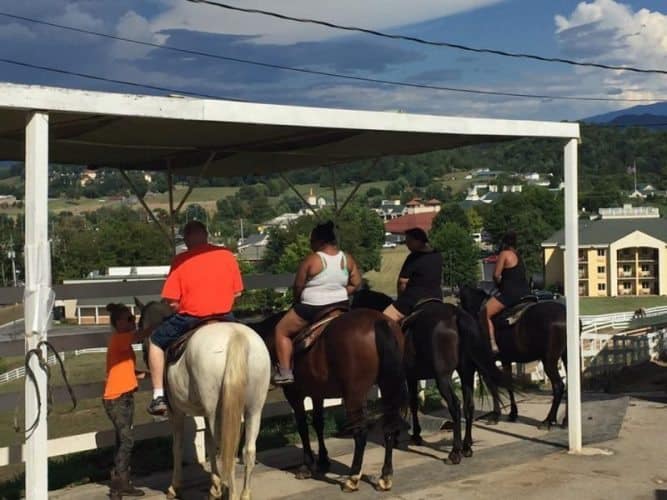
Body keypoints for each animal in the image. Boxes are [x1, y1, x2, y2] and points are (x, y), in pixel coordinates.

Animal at [137, 300, 272, 500]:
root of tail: (236, 336)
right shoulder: (207, 413)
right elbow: (209, 441)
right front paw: (214, 485)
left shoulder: (175, 412)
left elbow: (177, 447)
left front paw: (175, 487)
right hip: (253, 408)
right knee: (247, 450)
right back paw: (243, 494)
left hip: (218, 411)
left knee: (227, 451)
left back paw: (230, 493)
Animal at [249, 308, 408, 492]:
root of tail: (378, 322)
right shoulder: (317, 393)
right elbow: (318, 423)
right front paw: (323, 461)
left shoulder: (294, 395)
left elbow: (302, 427)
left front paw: (307, 466)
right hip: (387, 386)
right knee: (389, 428)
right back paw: (385, 476)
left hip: (354, 395)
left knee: (360, 433)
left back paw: (353, 478)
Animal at [352, 292, 508, 462]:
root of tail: (456, 315)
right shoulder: (412, 377)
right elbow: (413, 403)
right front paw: (415, 434)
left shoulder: (404, 379)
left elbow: (407, 404)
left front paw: (406, 435)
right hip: (466, 372)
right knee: (469, 406)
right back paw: (467, 447)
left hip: (443, 378)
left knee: (455, 406)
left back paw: (455, 451)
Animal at [460, 286, 568, 430]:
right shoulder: (506, 360)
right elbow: (509, 385)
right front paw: (512, 414)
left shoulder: (488, 363)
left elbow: (493, 386)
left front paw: (495, 415)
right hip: (566, 357)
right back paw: (565, 421)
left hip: (549, 361)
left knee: (558, 386)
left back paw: (548, 421)